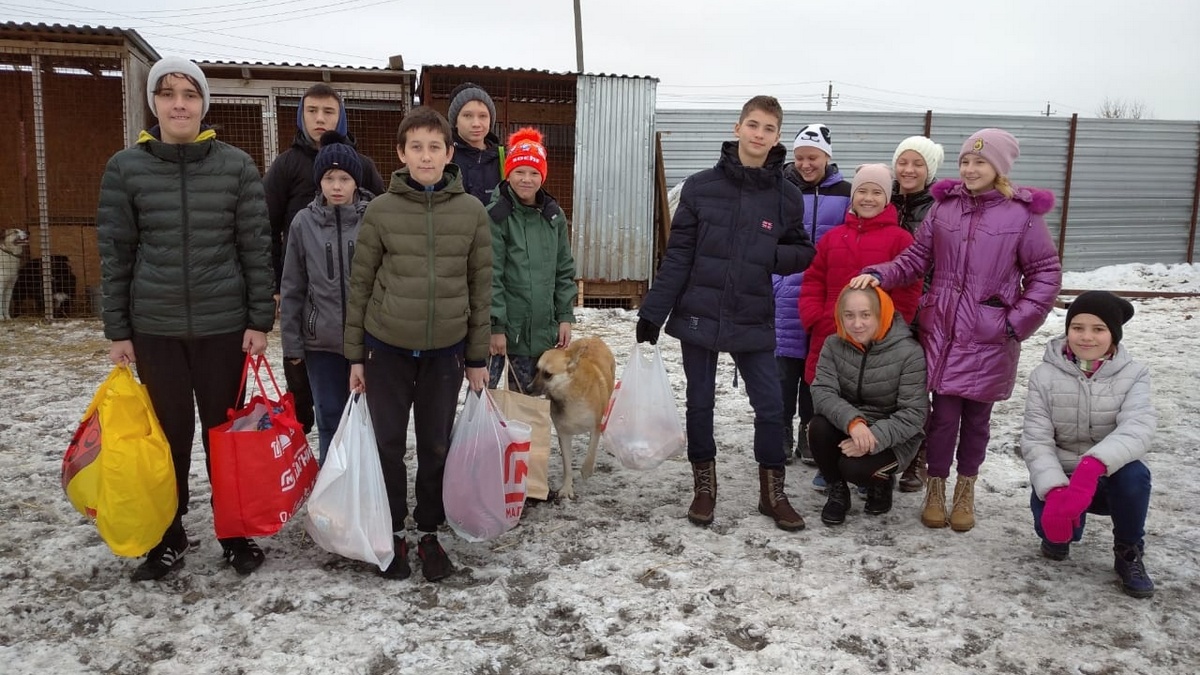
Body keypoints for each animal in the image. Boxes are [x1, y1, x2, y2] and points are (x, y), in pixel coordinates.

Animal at [530, 336, 614, 499]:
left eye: (548, 374)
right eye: (536, 370)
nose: (528, 388)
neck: (569, 393)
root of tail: (592, 337)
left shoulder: (595, 427)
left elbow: (591, 453)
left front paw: (587, 471)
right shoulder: (563, 433)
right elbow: (567, 466)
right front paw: (566, 488)